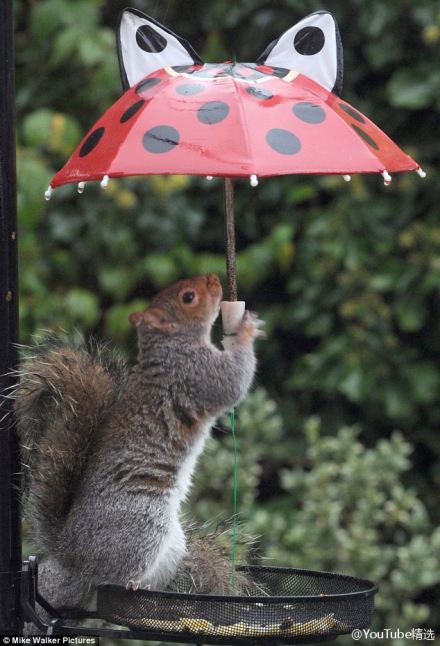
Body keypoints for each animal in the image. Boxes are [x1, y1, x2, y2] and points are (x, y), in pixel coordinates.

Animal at [14, 274, 262, 624]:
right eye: (188, 297)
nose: (215, 279)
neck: (169, 346)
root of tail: (69, 551)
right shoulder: (197, 375)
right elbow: (233, 382)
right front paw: (245, 330)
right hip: (143, 523)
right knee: (110, 577)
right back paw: (129, 584)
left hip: (170, 546)